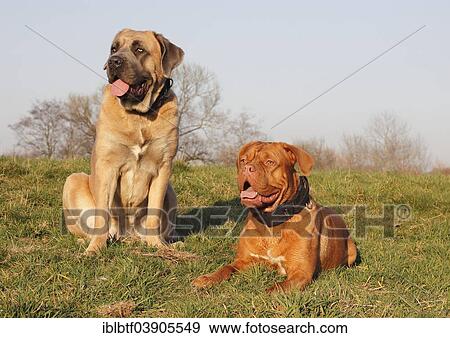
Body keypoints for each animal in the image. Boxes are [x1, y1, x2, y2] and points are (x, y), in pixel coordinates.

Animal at [62, 29, 184, 254]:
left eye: (139, 49)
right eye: (113, 48)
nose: (114, 61)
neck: (139, 116)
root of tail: (130, 236)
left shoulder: (163, 167)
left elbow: (154, 213)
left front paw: (156, 245)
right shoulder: (107, 166)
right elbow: (102, 214)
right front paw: (94, 249)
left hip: (171, 191)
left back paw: (169, 242)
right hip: (73, 180)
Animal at [192, 141, 356, 292]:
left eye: (269, 162)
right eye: (243, 160)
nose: (247, 168)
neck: (271, 220)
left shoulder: (301, 272)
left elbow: (276, 289)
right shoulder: (244, 261)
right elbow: (226, 268)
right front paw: (208, 278)